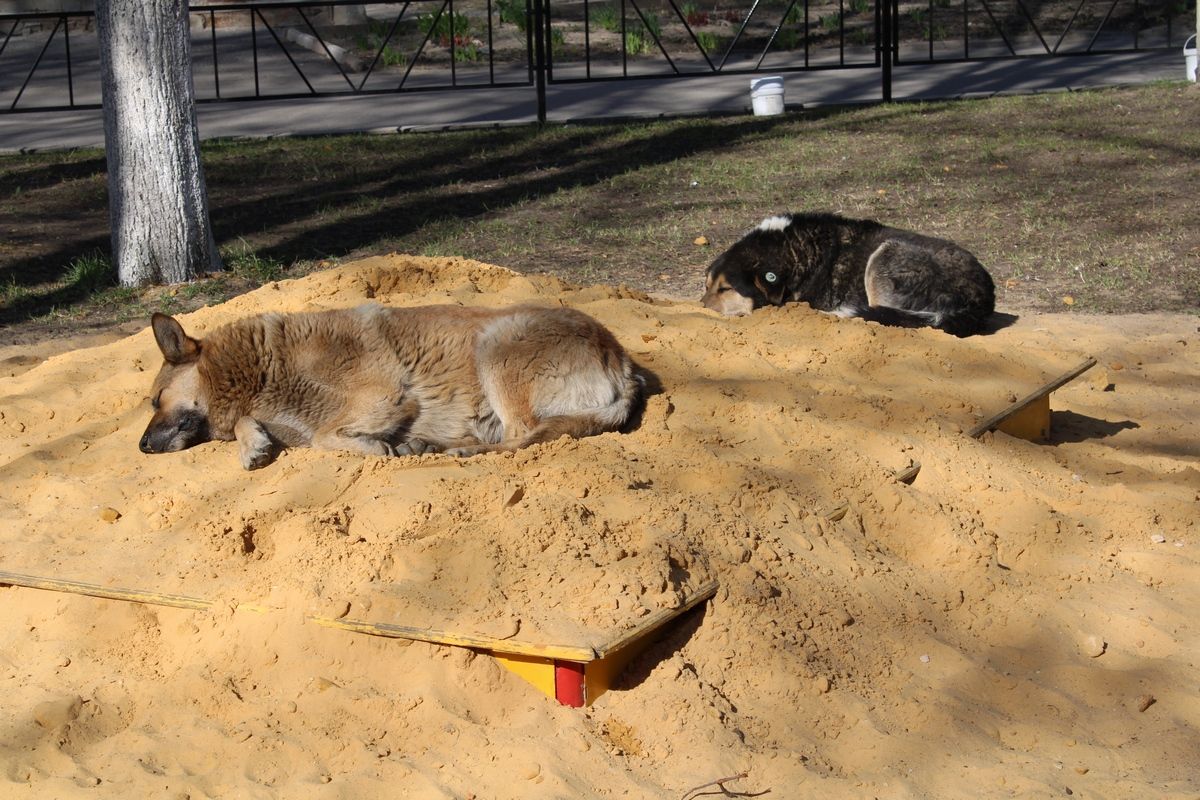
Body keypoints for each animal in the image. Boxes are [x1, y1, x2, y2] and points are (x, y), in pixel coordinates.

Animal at [139, 304, 643, 470]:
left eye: (155, 399)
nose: (141, 446)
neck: (264, 368)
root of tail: (620, 358)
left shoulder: (385, 394)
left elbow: (326, 437)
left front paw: (376, 448)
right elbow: (257, 424)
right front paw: (252, 444)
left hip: (496, 346)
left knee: (524, 437)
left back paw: (458, 450)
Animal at [700, 211, 998, 335]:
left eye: (726, 289)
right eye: (706, 285)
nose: (699, 309)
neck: (791, 250)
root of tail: (982, 299)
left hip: (886, 255)